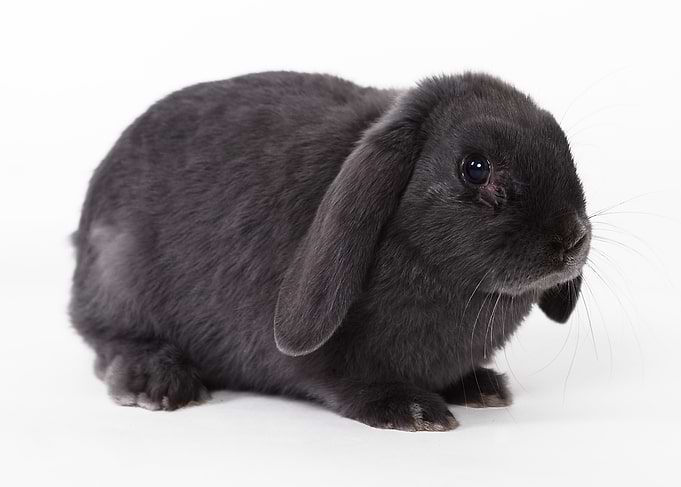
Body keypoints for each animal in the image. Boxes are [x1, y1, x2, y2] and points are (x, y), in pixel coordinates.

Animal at [70, 71, 590, 431]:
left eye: (564, 149)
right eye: (476, 168)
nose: (572, 238)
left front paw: (480, 387)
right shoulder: (331, 361)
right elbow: (343, 380)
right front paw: (413, 411)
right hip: (119, 285)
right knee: (108, 343)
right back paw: (159, 383)